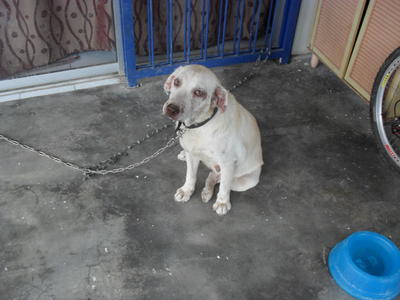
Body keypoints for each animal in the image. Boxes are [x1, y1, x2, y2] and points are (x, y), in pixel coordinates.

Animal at [162, 65, 262, 216]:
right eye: (177, 82)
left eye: (198, 92)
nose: (171, 109)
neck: (198, 126)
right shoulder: (192, 154)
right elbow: (190, 176)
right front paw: (187, 190)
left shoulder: (227, 163)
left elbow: (224, 187)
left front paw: (222, 203)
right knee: (212, 175)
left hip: (244, 181)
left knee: (218, 179)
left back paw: (209, 192)